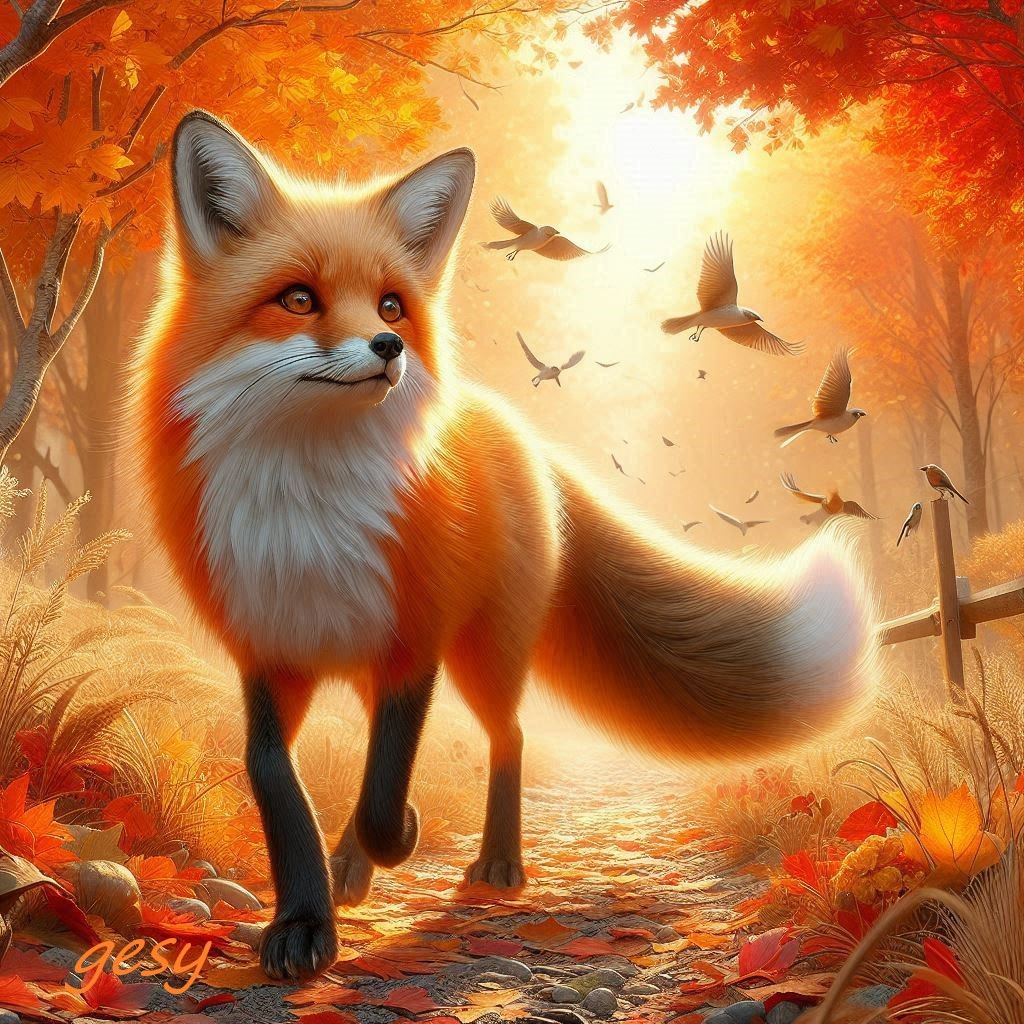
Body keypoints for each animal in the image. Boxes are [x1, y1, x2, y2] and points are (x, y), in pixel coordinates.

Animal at [134, 110, 877, 982]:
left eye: (392, 306)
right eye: (297, 299)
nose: (388, 348)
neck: (308, 512)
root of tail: (515, 429)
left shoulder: (413, 644)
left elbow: (383, 799)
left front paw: (397, 838)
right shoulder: (266, 649)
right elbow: (277, 787)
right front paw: (303, 921)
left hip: (484, 651)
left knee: (509, 735)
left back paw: (495, 866)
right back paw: (358, 869)